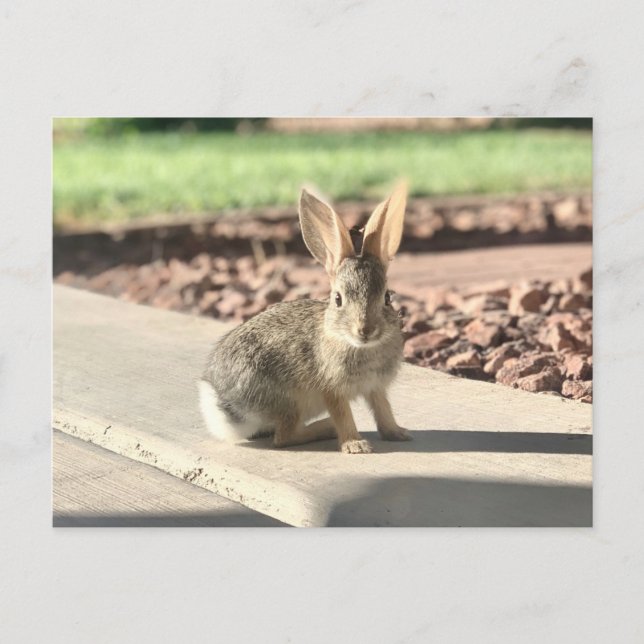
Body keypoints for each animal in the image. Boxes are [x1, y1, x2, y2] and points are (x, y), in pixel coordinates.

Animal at [198, 182, 411, 454]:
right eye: (338, 299)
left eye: (387, 297)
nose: (365, 330)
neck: (357, 344)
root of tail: (225, 404)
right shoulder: (332, 389)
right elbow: (343, 415)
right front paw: (355, 445)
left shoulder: (376, 386)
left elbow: (383, 410)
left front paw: (398, 433)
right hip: (289, 401)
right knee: (284, 437)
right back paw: (325, 427)